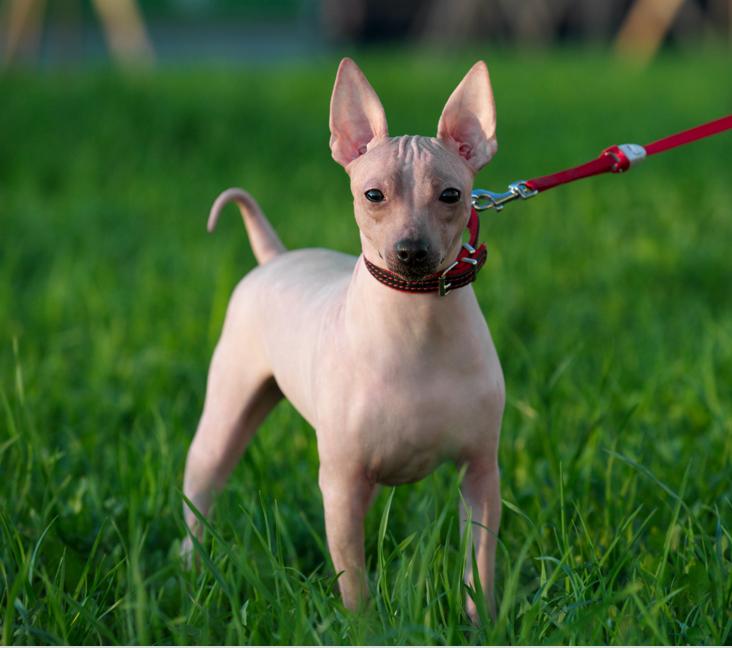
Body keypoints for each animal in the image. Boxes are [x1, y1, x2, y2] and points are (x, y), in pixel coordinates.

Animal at [180, 58, 506, 620]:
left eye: (452, 195)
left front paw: (481, 623)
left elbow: (477, 566)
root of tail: (276, 257)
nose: (410, 250)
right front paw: (364, 626)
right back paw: (189, 564)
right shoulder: (340, 480)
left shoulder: (481, 472)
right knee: (202, 484)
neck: (417, 323)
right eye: (373, 195)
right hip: (227, 415)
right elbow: (353, 578)